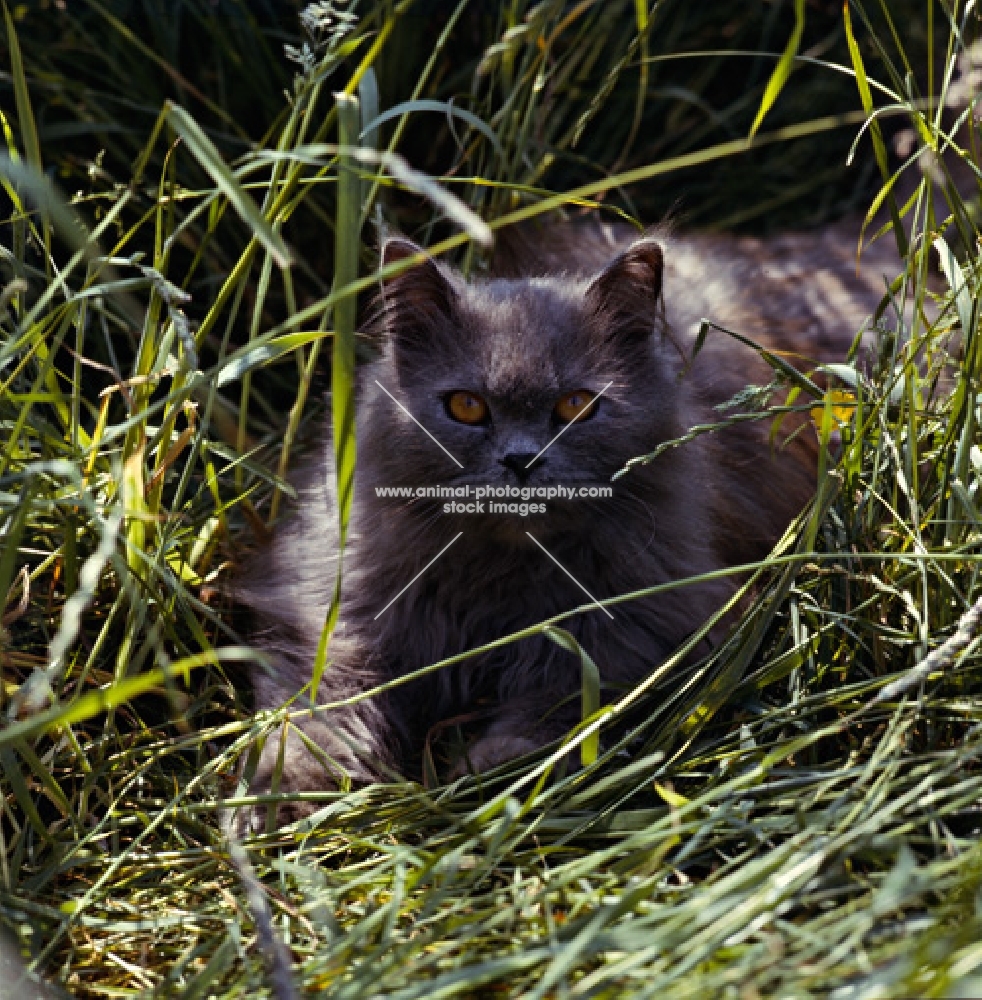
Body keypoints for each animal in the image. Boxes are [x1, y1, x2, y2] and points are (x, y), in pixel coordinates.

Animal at [236, 223, 900, 832]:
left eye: (576, 406)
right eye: (466, 407)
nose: (521, 460)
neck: (496, 584)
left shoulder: (639, 628)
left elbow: (561, 705)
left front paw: (493, 774)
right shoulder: (343, 619)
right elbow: (318, 713)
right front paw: (278, 799)